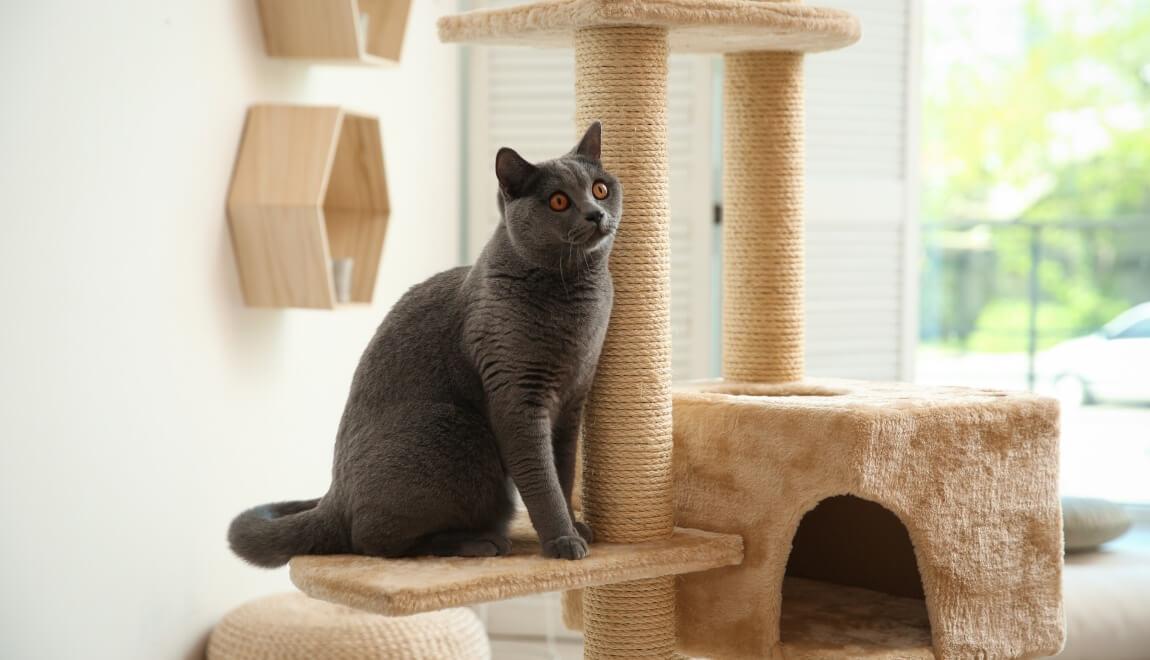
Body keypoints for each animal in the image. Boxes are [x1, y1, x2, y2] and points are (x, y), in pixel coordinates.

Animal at [226, 124, 621, 570]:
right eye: (558, 201)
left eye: (600, 189)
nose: (596, 214)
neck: (577, 298)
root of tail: (334, 496)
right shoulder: (519, 400)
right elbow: (543, 480)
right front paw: (562, 541)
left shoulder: (571, 405)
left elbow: (565, 473)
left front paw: (576, 527)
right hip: (455, 432)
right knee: (374, 540)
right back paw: (479, 543)